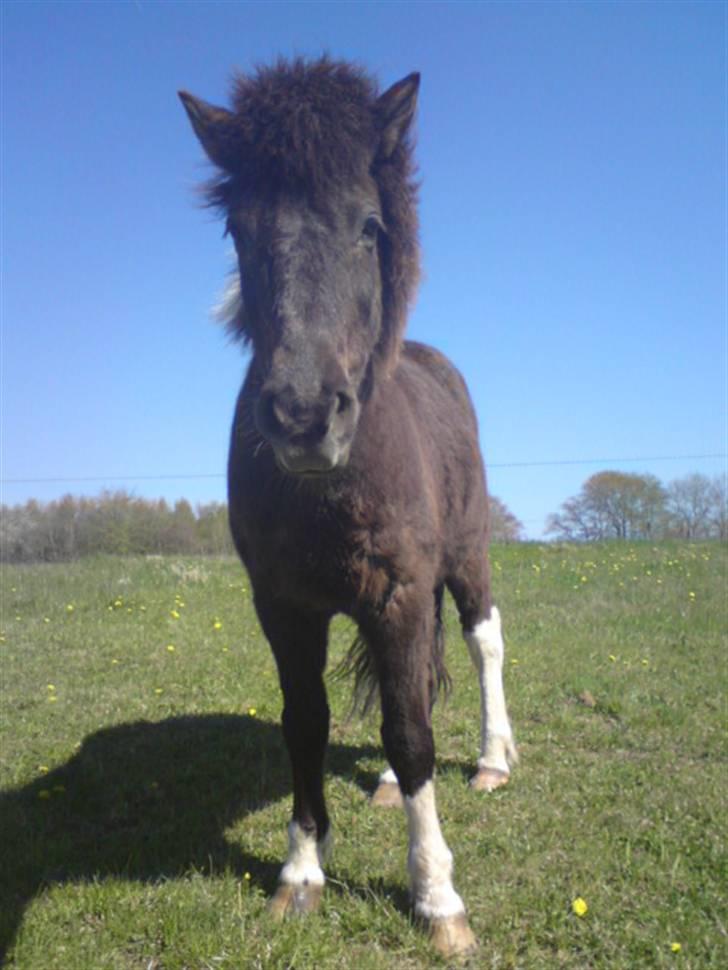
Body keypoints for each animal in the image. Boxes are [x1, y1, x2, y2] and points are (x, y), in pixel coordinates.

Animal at [178, 56, 516, 956]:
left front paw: (436, 896)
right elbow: (307, 722)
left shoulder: (398, 591)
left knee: (482, 644)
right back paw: (393, 787)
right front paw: (301, 872)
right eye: (238, 232)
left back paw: (494, 761)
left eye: (369, 226)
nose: (301, 415)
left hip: (465, 559)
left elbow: (411, 730)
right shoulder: (284, 605)